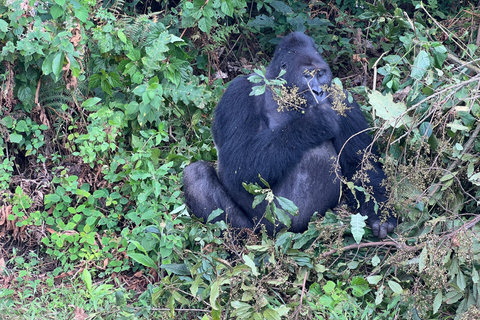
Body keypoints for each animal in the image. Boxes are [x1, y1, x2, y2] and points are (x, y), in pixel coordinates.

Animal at [182, 31, 396, 238]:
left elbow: (360, 165)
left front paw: (381, 216)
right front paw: (314, 123)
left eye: (321, 74)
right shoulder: (237, 94)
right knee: (196, 174)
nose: (318, 91)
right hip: (259, 227)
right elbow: (236, 165)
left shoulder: (341, 98)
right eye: (307, 75)